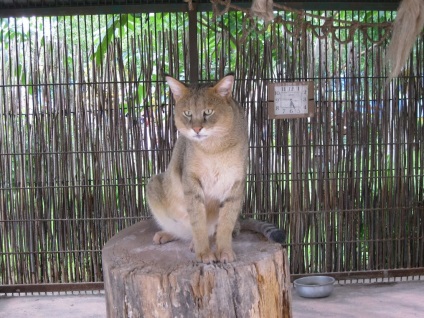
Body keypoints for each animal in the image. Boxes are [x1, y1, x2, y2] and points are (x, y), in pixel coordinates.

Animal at [147, 74, 284, 264]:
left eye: (208, 112)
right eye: (187, 113)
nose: (197, 129)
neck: (213, 149)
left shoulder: (235, 184)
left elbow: (225, 223)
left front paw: (224, 251)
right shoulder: (191, 183)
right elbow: (198, 222)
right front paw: (204, 253)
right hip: (155, 183)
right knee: (184, 230)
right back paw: (169, 235)